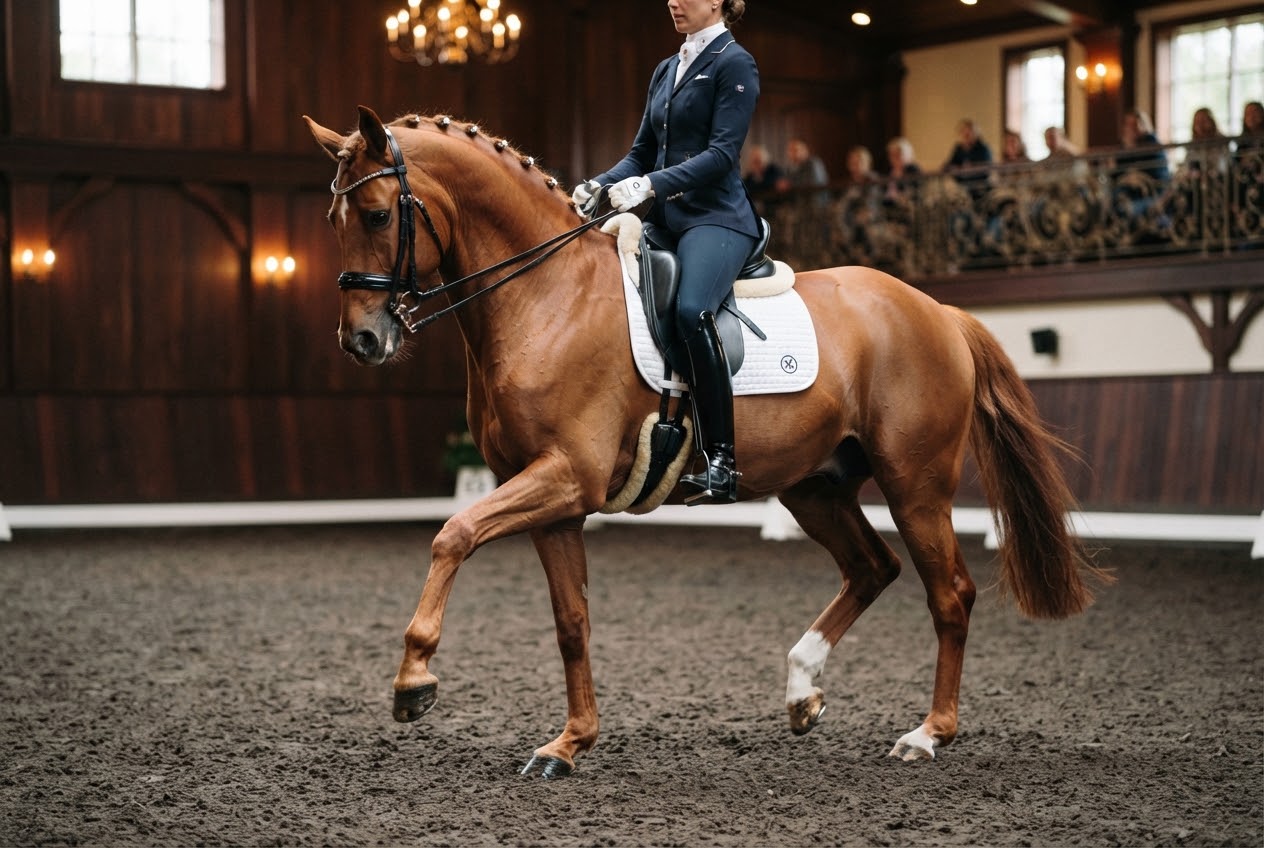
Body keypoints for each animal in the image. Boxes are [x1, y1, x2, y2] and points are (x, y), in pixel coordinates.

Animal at [304, 106, 1108, 778]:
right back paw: (801, 691)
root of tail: (937, 309)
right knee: (871, 568)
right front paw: (569, 744)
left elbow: (454, 533)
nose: (362, 341)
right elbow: (571, 622)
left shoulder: (564, 476)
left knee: (950, 594)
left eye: (377, 214)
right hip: (814, 486)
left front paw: (414, 681)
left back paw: (929, 733)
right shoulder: (552, 499)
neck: (546, 296)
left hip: (915, 483)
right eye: (335, 217)